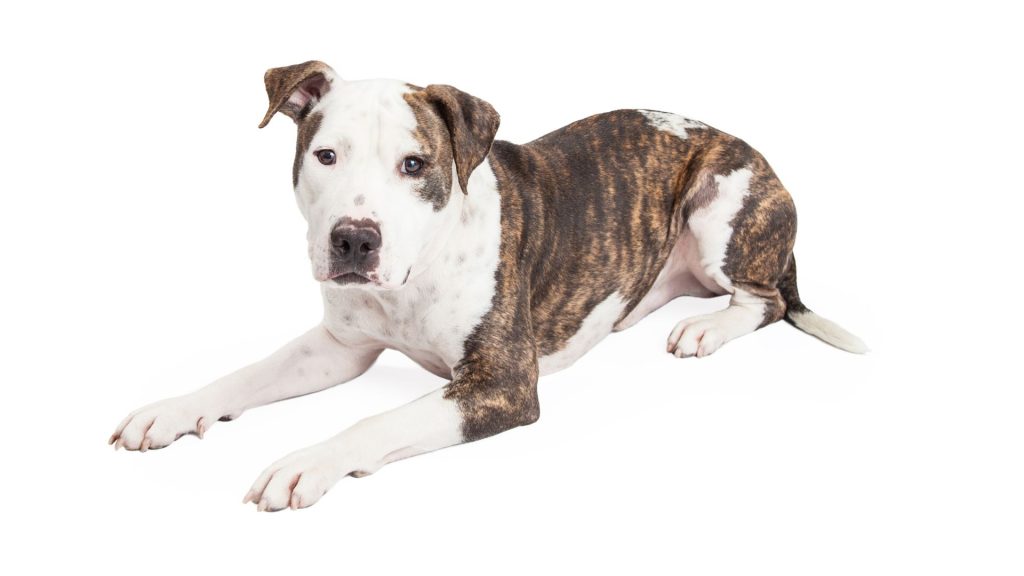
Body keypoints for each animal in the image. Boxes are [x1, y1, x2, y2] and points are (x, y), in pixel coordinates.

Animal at [110, 60, 864, 508]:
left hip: (719, 204)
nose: (354, 238)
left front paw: (309, 460)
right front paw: (173, 410)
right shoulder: (339, 346)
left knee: (766, 299)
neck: (415, 273)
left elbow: (380, 419)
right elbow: (245, 375)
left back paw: (708, 327)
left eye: (415, 164)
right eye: (326, 156)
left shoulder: (500, 385)